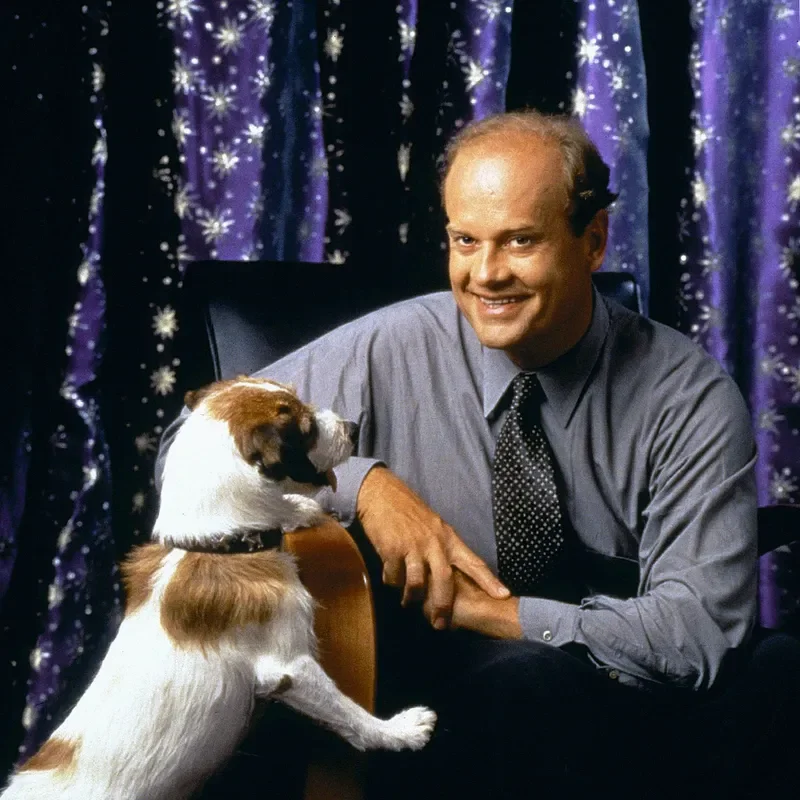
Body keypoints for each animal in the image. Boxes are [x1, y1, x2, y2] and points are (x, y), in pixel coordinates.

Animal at [1, 376, 438, 800]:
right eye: (306, 427)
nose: (352, 428)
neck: (218, 543)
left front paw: (297, 508)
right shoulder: (289, 667)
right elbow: (347, 712)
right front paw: (396, 731)